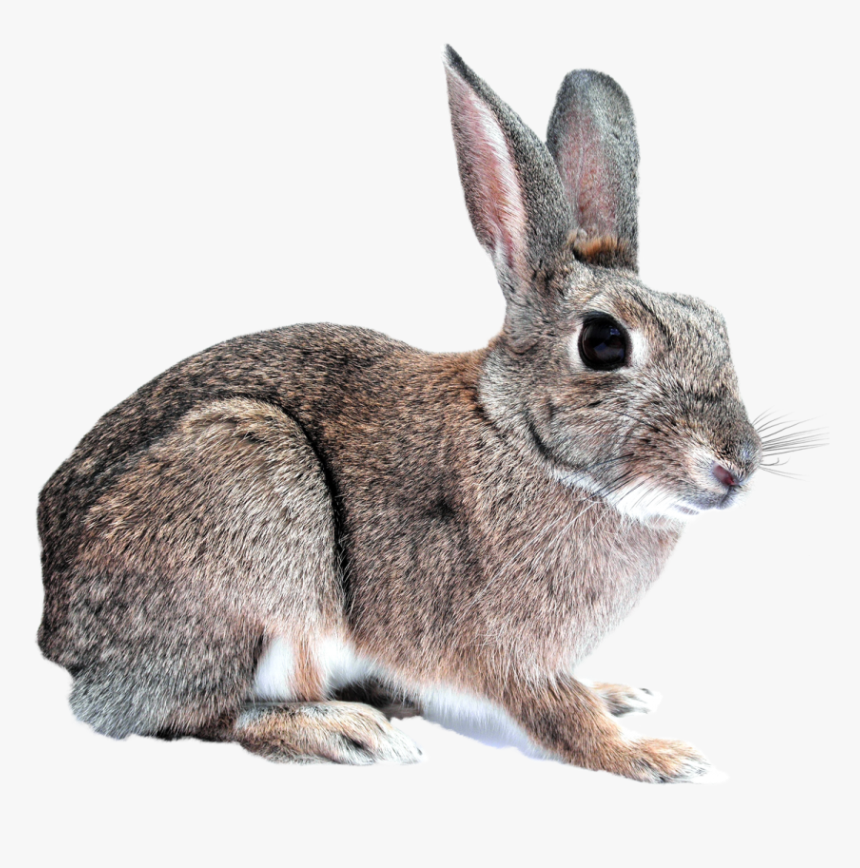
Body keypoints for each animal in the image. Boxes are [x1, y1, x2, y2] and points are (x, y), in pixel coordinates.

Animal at [37, 45, 761, 782]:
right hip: (249, 498)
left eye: (715, 323)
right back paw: (345, 731)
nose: (737, 466)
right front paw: (656, 755)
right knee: (193, 714)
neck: (521, 442)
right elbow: (561, 716)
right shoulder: (506, 651)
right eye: (604, 343)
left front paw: (619, 695)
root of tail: (55, 630)